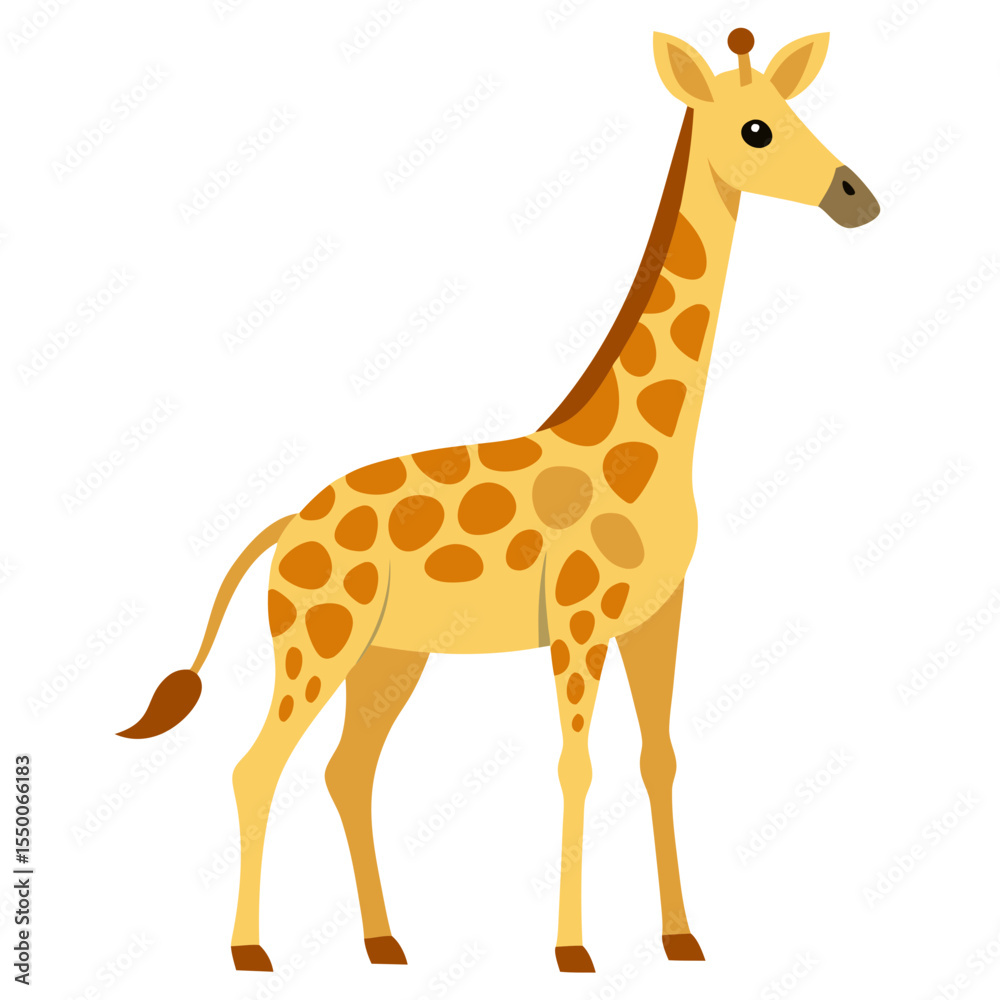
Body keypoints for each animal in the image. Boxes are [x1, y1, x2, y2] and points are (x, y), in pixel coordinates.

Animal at [118, 29, 879, 974]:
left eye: (792, 109)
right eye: (756, 128)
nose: (857, 197)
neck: (650, 451)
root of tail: (285, 526)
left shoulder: (658, 617)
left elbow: (658, 757)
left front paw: (681, 938)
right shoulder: (580, 621)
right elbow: (574, 765)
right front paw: (573, 951)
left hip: (390, 655)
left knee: (347, 770)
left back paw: (384, 942)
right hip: (317, 639)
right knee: (256, 766)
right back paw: (251, 952)